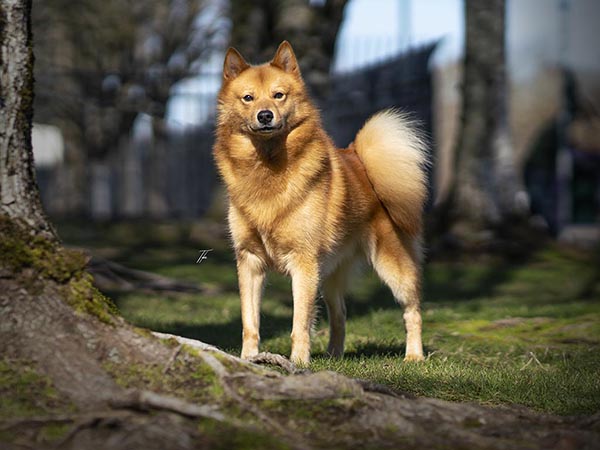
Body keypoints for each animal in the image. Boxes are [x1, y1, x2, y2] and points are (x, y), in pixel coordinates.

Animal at [213, 41, 428, 366]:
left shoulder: (303, 264)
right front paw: (249, 359)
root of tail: (362, 159)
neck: (267, 166)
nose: (265, 115)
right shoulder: (249, 261)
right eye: (248, 98)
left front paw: (298, 364)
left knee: (412, 311)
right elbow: (250, 322)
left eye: (279, 95)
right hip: (328, 276)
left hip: (393, 267)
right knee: (340, 315)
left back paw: (414, 356)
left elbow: (299, 323)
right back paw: (334, 356)